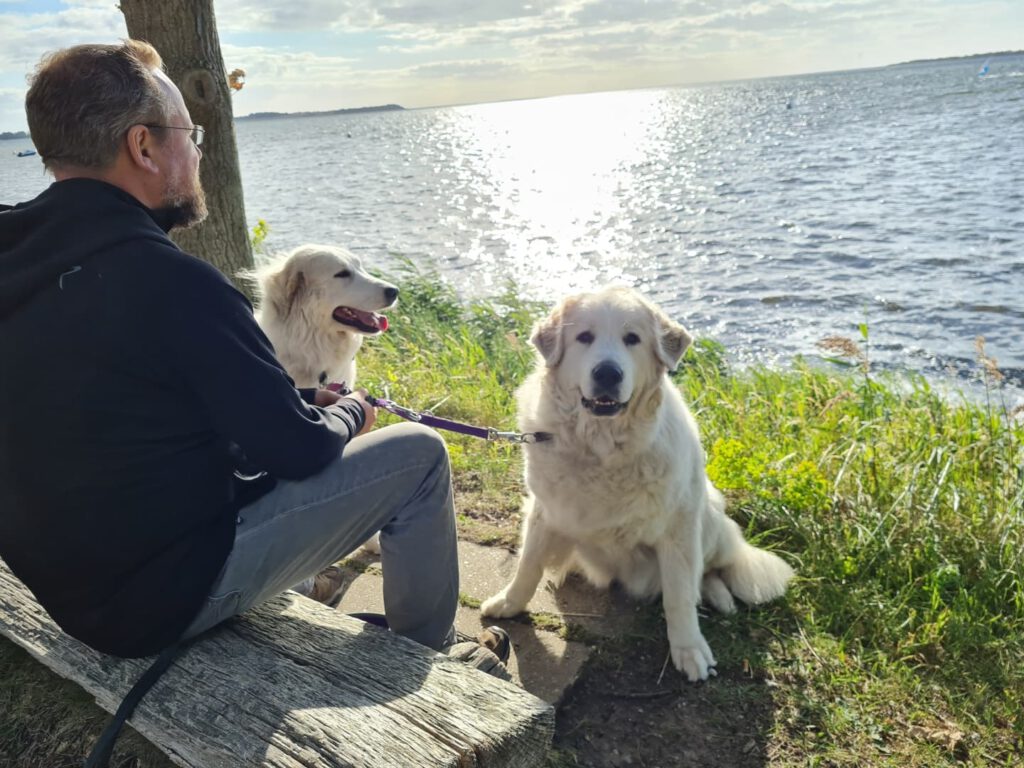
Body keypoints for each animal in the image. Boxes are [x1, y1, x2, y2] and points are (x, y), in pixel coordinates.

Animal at [483, 286, 794, 684]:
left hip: (708, 513)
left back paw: (718, 596)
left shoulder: (678, 527)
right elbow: (528, 564)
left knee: (711, 568)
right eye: (585, 337)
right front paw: (509, 603)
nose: (607, 373)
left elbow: (679, 594)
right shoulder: (544, 509)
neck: (601, 448)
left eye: (632, 339)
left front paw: (689, 649)